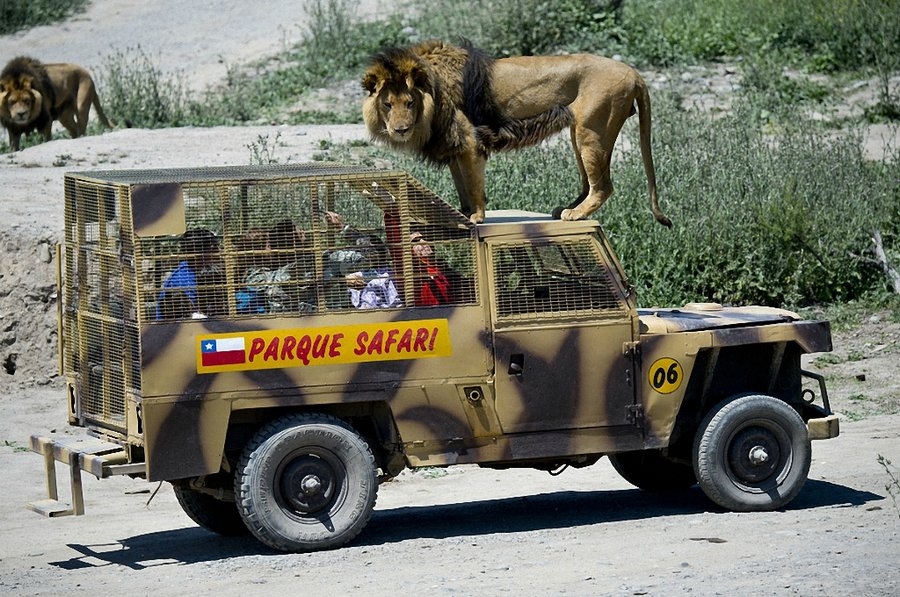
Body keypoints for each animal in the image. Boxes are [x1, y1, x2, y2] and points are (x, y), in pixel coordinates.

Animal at [362, 39, 672, 226]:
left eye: (409, 103)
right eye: (387, 104)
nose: (400, 129)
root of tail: (634, 72)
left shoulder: (470, 142)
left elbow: (473, 185)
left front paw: (477, 217)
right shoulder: (454, 146)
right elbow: (461, 185)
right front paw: (462, 214)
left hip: (592, 130)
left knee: (603, 186)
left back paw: (575, 214)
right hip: (580, 133)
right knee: (589, 183)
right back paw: (566, 208)